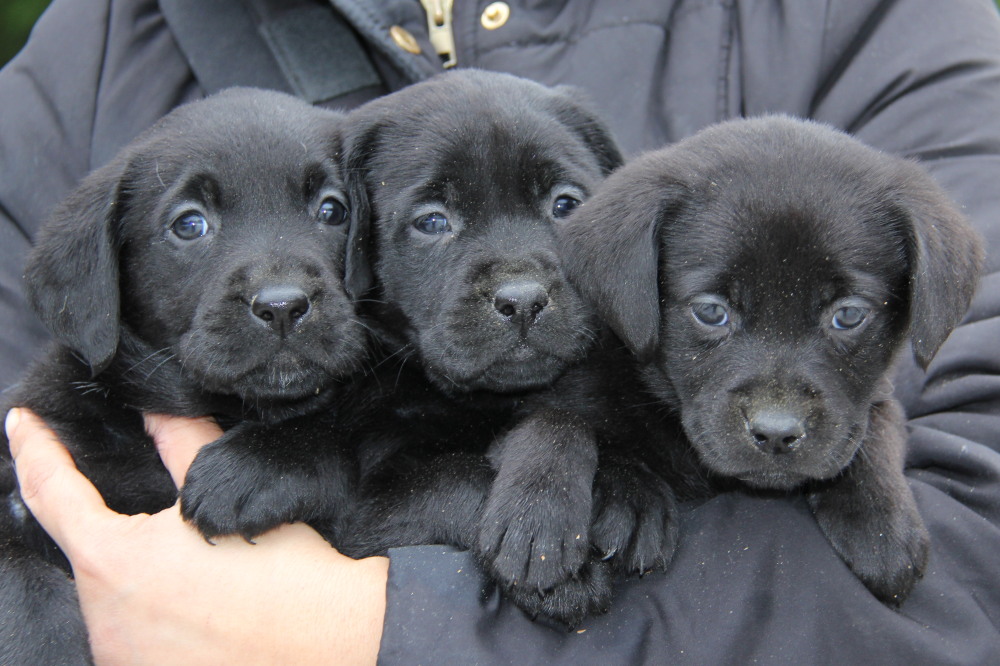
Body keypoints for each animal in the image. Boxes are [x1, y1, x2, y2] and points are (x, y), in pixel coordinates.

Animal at [336, 70, 680, 620]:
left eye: (566, 205)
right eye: (432, 221)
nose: (522, 300)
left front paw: (631, 491)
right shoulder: (365, 511)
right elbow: (455, 479)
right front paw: (553, 549)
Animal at [564, 116, 984, 604]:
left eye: (849, 315)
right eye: (711, 311)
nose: (776, 434)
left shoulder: (877, 395)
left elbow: (875, 432)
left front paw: (881, 524)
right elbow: (597, 423)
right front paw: (629, 497)